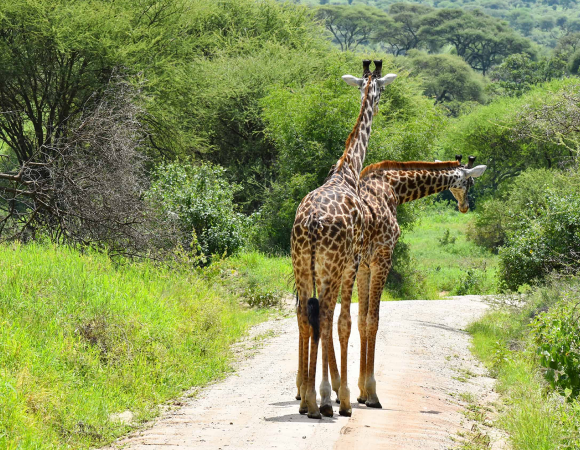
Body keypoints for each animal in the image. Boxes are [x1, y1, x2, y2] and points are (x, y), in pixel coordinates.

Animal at [292, 59, 396, 418]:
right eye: (381, 90)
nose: (379, 103)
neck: (347, 169)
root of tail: (310, 222)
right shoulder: (353, 263)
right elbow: (345, 322)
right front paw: (344, 395)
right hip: (332, 265)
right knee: (323, 316)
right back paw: (322, 400)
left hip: (301, 265)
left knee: (305, 315)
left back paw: (308, 400)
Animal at [352, 156, 488, 408]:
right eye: (470, 183)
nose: (465, 207)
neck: (394, 189)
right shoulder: (382, 258)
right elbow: (372, 320)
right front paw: (372, 394)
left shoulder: (364, 266)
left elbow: (362, 320)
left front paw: (362, 393)